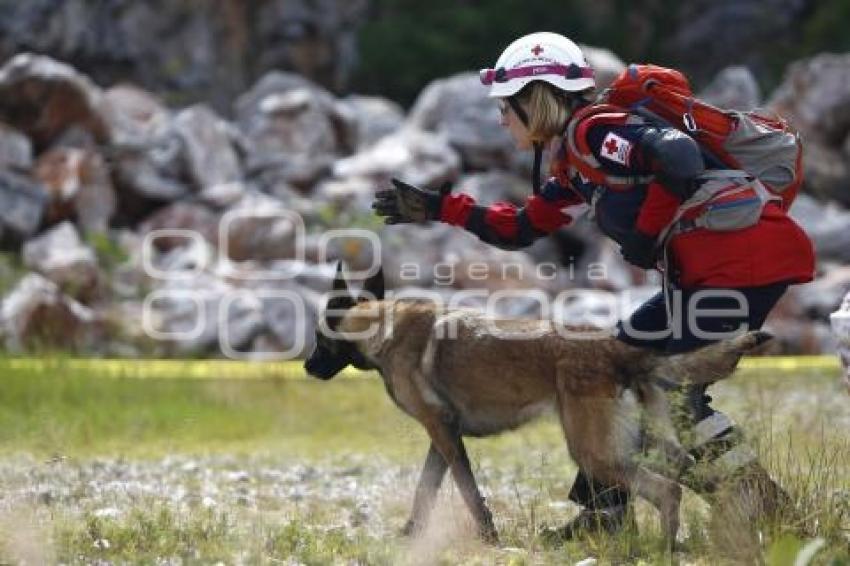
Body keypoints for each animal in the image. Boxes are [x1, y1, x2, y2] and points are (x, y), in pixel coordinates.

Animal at [304, 268, 768, 544]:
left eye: (318, 337)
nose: (307, 367)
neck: (380, 327)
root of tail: (617, 349)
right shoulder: (443, 434)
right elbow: (427, 488)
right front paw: (410, 534)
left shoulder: (441, 430)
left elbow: (468, 491)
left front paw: (488, 537)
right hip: (650, 444)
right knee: (691, 475)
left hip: (594, 452)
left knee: (667, 490)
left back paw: (666, 550)